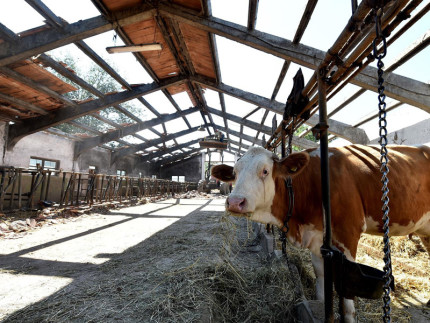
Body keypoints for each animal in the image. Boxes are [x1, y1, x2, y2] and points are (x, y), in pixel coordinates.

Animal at [212, 146, 430, 322]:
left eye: (265, 171)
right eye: (234, 173)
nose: (234, 202)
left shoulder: (347, 234)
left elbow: (347, 290)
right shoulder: (316, 238)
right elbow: (320, 275)